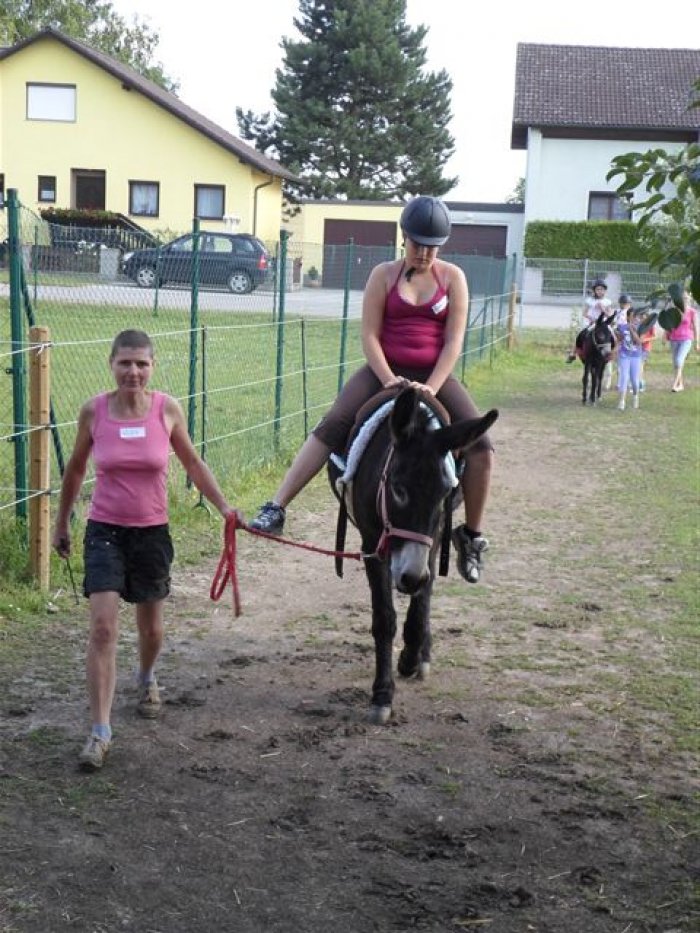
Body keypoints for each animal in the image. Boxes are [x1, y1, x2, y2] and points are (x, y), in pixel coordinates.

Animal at [328, 386, 498, 724]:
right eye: (397, 488)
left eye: (445, 492)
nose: (409, 578)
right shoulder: (372, 545)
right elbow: (384, 618)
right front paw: (382, 694)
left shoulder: (432, 540)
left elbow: (421, 604)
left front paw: (409, 658)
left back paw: (422, 652)